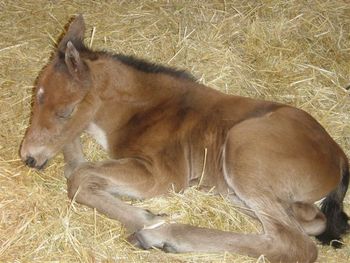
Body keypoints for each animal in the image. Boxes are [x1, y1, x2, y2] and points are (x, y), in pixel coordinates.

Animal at [20, 15, 348, 262]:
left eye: (65, 111)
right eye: (35, 99)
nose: (28, 157)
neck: (144, 109)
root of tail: (338, 155)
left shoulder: (162, 174)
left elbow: (79, 178)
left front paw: (146, 218)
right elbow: (77, 166)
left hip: (243, 147)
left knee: (293, 243)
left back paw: (161, 236)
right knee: (310, 221)